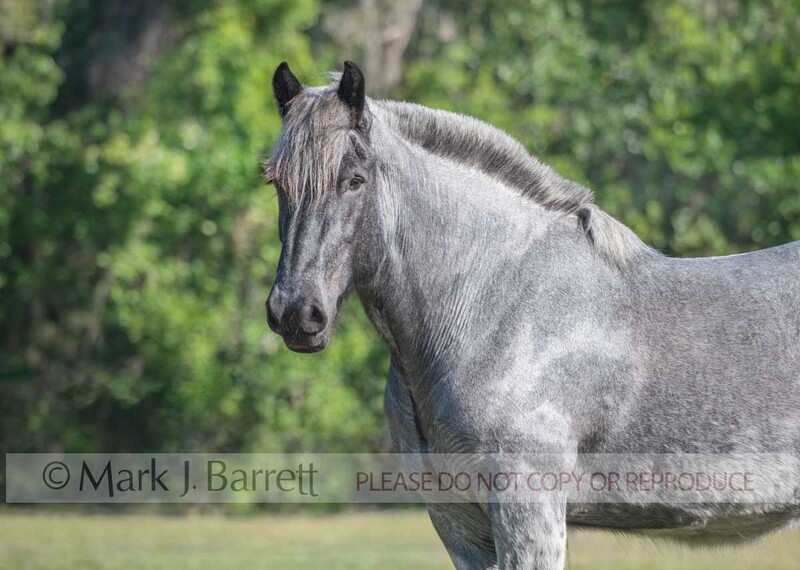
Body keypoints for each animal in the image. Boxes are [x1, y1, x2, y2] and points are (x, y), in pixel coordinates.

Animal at [264, 61, 800, 569]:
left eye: (355, 180)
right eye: (277, 183)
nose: (296, 313)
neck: (496, 306)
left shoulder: (527, 507)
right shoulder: (457, 522)